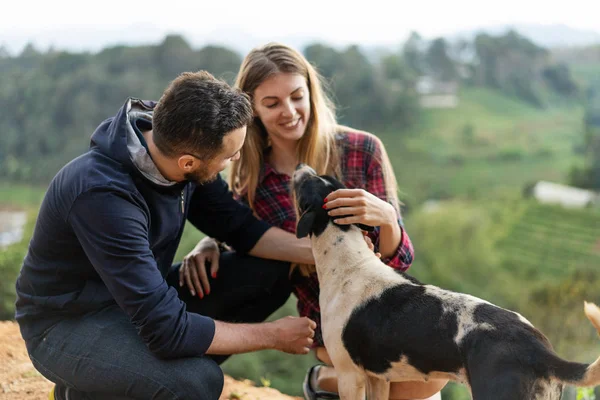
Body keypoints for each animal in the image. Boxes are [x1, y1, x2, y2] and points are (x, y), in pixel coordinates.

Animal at [292, 163, 600, 400]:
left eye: (306, 182)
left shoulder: (349, 375)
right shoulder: (377, 377)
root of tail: (540, 349)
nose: (299, 165)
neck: (348, 257)